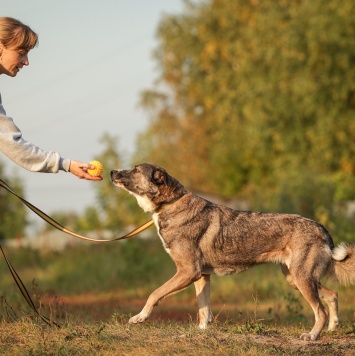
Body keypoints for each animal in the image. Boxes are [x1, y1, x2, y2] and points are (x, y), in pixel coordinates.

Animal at [110, 163, 355, 340]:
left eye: (136, 170)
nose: (112, 172)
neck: (170, 203)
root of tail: (321, 228)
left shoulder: (187, 272)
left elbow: (154, 294)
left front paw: (139, 318)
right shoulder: (201, 276)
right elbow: (203, 309)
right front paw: (201, 332)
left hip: (302, 279)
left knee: (320, 310)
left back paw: (312, 336)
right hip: (296, 279)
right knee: (332, 295)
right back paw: (332, 328)